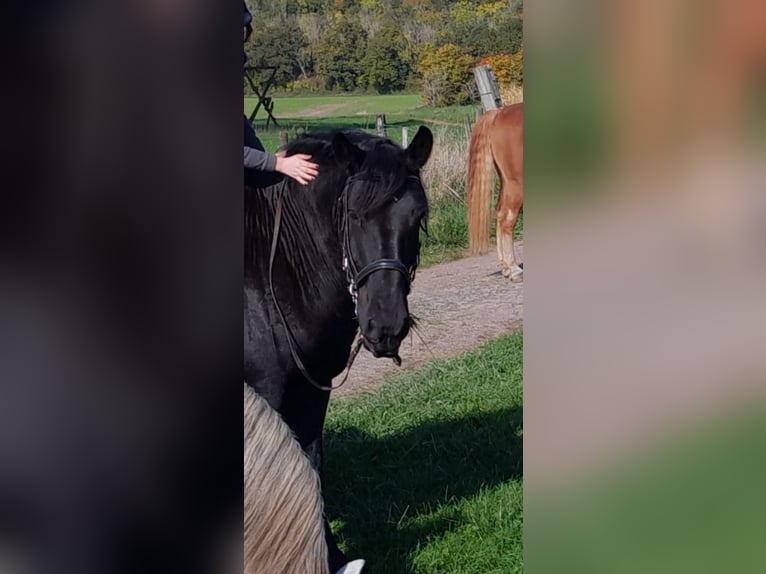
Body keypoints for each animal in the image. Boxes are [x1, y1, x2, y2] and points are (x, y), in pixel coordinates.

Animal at [244, 127, 433, 572]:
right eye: (354, 215)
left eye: (418, 216)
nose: (386, 327)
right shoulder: (265, 399)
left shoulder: (311, 392)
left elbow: (310, 467)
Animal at [466, 102, 523, 281]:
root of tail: (499, 113)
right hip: (515, 184)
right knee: (507, 220)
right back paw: (513, 269)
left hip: (507, 182)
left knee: (499, 213)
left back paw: (506, 267)